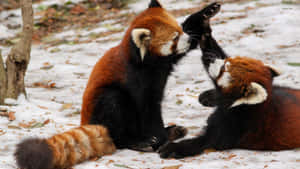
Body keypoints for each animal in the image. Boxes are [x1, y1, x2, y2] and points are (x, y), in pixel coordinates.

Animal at [15, 0, 196, 168]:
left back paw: (172, 131)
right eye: (175, 37)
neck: (145, 62)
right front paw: (161, 139)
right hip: (104, 105)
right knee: (114, 102)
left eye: (180, 29)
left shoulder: (163, 67)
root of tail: (86, 122)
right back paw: (137, 141)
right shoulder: (136, 79)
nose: (189, 38)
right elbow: (147, 109)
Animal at [159, 2, 300, 158]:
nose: (210, 59)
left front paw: (173, 148)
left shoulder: (236, 126)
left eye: (223, 69)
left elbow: (206, 142)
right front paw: (204, 19)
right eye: (227, 61)